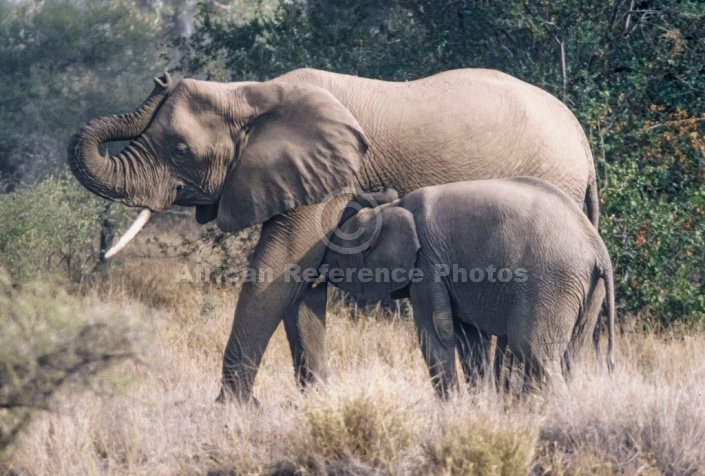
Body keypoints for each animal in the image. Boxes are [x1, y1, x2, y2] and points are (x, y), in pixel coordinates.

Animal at [322, 177, 612, 396]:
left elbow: (436, 332)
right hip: (586, 289)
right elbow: (470, 341)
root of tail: (599, 250)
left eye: (337, 254)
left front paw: (451, 412)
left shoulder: (428, 264)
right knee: (569, 356)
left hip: (553, 283)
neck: (393, 207)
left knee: (533, 350)